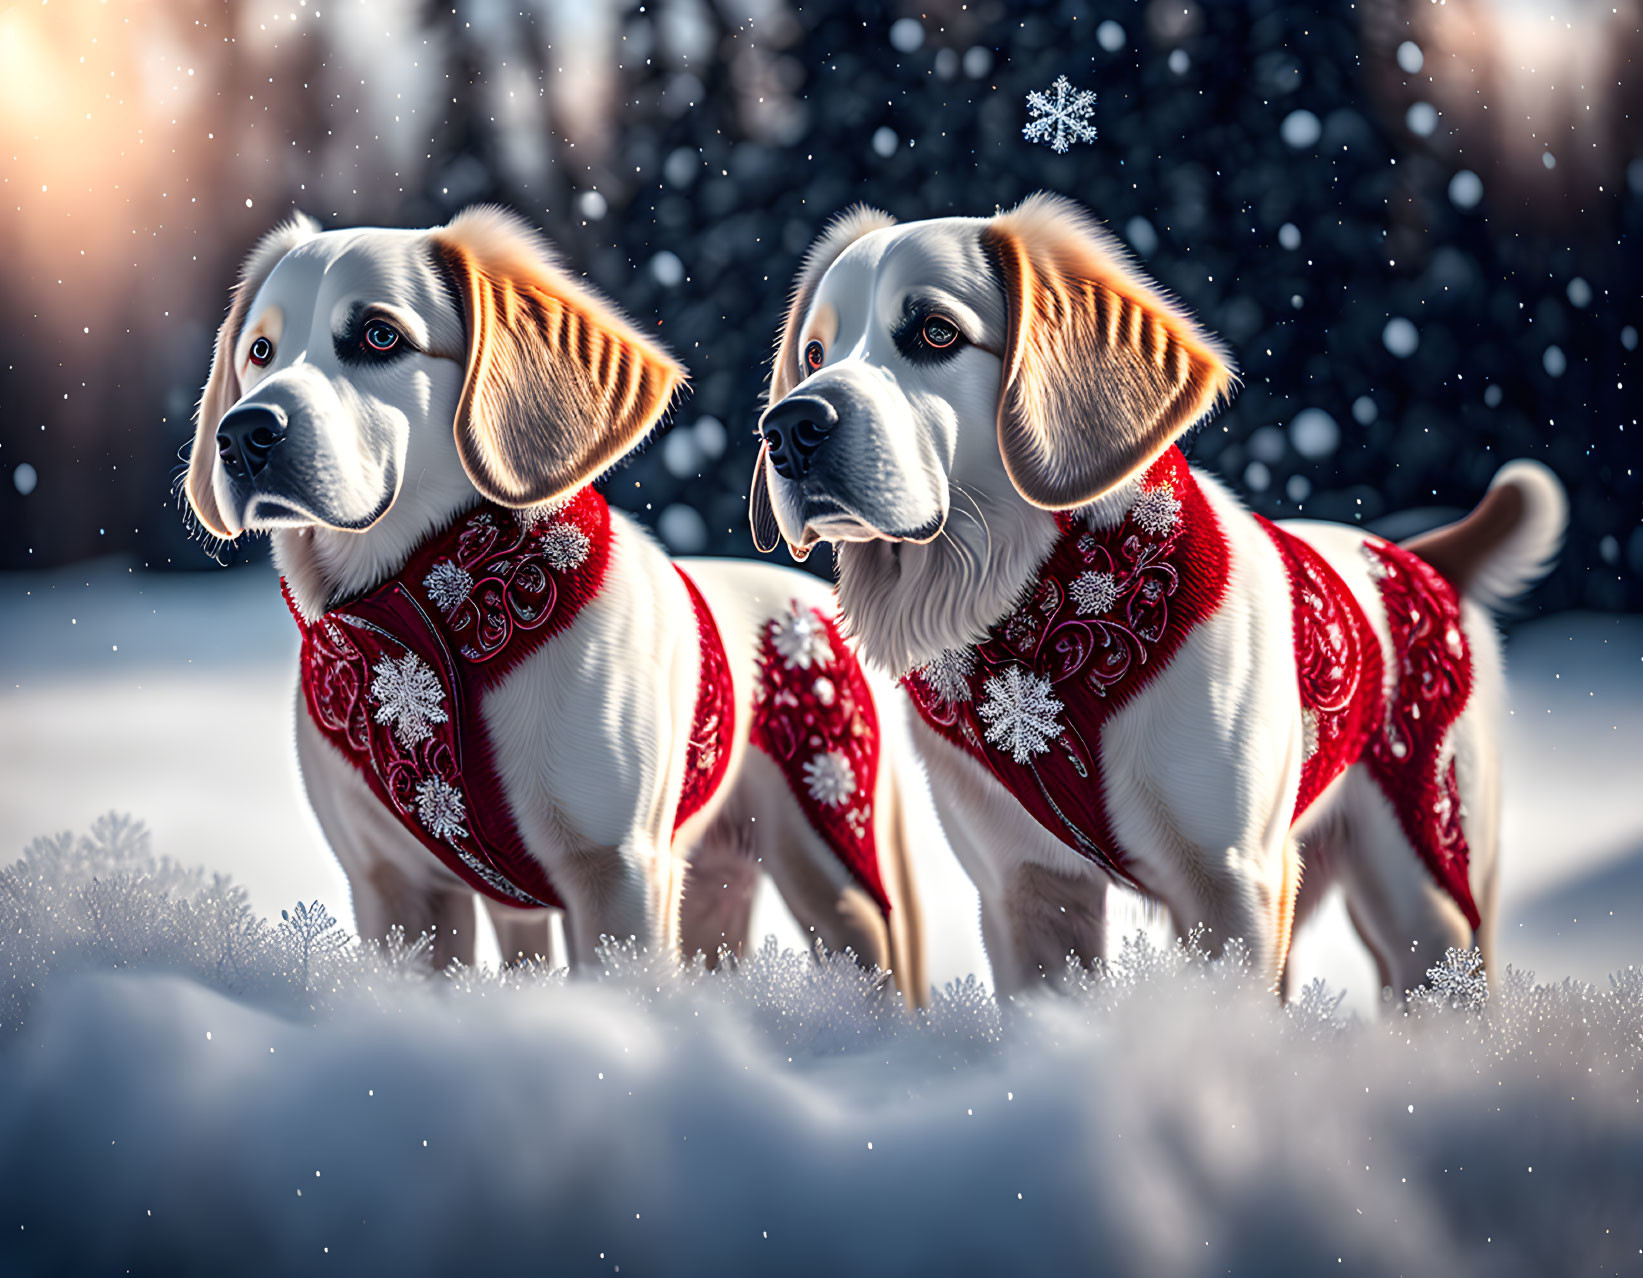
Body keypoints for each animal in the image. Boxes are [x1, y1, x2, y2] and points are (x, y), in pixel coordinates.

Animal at [184, 206, 926, 998]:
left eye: (379, 336)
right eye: (260, 351)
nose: (243, 434)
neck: (422, 622)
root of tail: (816, 594)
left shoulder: (618, 872)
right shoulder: (394, 887)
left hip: (831, 861)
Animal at [755, 191, 1564, 998]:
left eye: (934, 332)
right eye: (814, 356)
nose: (788, 427)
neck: (1039, 634)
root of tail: (1415, 556)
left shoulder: (1232, 884)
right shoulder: (1025, 887)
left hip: (1425, 888)